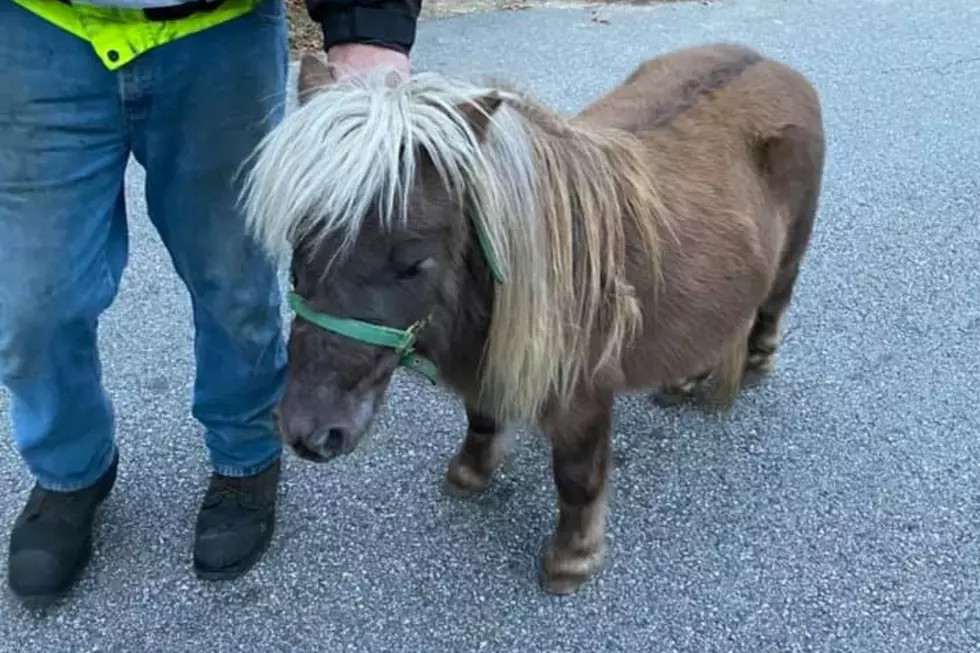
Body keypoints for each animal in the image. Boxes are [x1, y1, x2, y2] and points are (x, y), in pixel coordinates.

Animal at [241, 43, 824, 596]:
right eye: (300, 246)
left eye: (412, 262)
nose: (308, 433)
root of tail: (773, 65)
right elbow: (481, 418)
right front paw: (470, 473)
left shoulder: (583, 397)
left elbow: (576, 477)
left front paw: (571, 559)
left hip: (788, 262)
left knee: (770, 308)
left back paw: (753, 364)